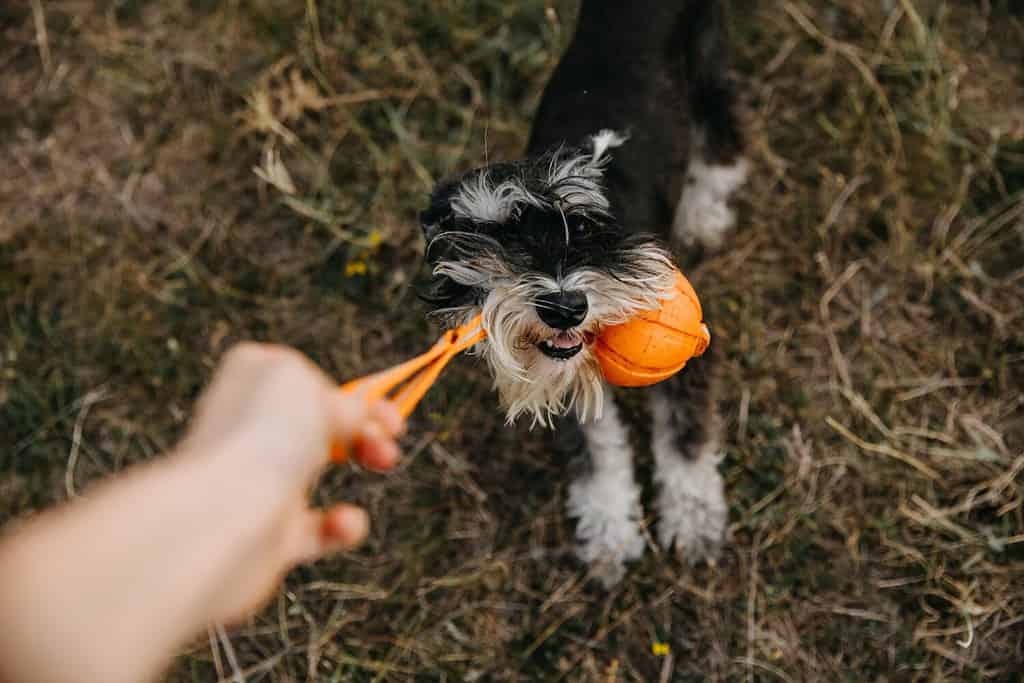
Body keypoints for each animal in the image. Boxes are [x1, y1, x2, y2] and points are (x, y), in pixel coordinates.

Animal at [419, 1, 749, 589]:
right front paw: (610, 535)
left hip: (709, 58)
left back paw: (705, 212)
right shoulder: (559, 371)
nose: (563, 307)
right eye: (498, 235)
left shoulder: (691, 358)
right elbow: (598, 454)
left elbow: (686, 441)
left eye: (585, 226)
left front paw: (694, 523)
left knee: (723, 130)